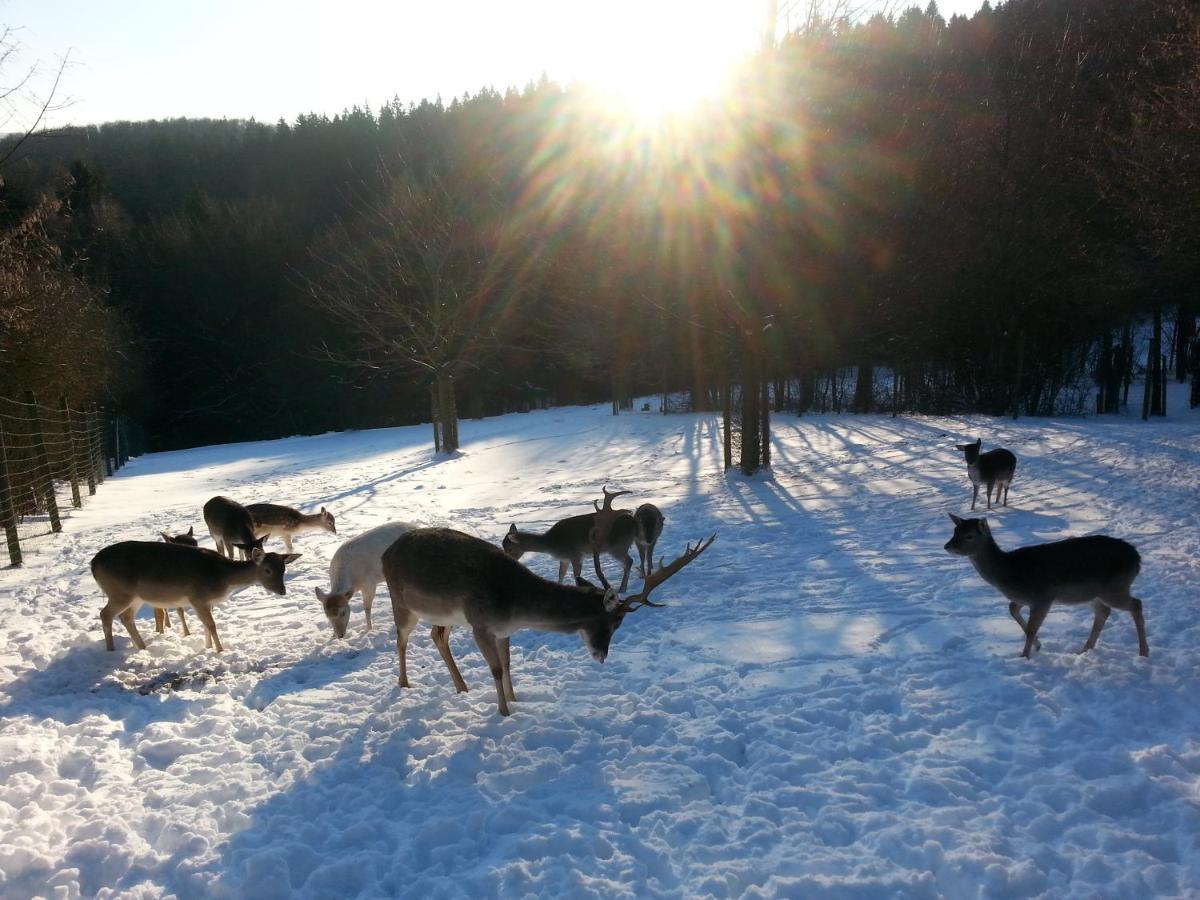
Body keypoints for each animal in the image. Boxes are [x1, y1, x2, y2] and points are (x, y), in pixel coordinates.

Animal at [89, 540, 300, 652]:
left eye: (283, 569)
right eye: (267, 570)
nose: (282, 591)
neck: (223, 576)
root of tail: (92, 564)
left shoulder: (207, 601)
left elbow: (206, 625)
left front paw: (208, 647)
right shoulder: (197, 597)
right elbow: (211, 625)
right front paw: (220, 650)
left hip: (136, 597)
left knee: (126, 617)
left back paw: (142, 647)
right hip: (120, 592)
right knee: (105, 614)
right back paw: (111, 650)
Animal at [379, 525, 710, 715]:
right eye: (614, 623)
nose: (601, 655)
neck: (514, 606)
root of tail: (386, 552)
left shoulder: (504, 630)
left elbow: (508, 664)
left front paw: (515, 700)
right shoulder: (480, 624)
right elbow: (496, 669)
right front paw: (504, 712)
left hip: (443, 615)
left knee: (437, 636)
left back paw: (462, 687)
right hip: (401, 602)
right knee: (401, 639)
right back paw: (404, 683)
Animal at [501, 489, 638, 595]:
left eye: (510, 549)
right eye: (503, 547)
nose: (507, 559)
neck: (551, 544)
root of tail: (634, 522)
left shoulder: (576, 555)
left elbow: (577, 577)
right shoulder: (564, 559)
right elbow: (560, 576)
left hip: (616, 546)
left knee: (629, 561)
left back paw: (622, 589)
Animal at [940, 518, 1147, 657]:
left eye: (969, 536)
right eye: (955, 531)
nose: (947, 546)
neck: (1009, 573)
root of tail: (1137, 559)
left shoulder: (1043, 597)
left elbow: (1032, 628)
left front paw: (1025, 656)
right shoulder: (1024, 598)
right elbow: (1012, 609)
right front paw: (1038, 646)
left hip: (1114, 588)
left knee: (1136, 604)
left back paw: (1144, 652)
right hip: (1096, 594)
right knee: (1104, 612)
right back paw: (1084, 650)